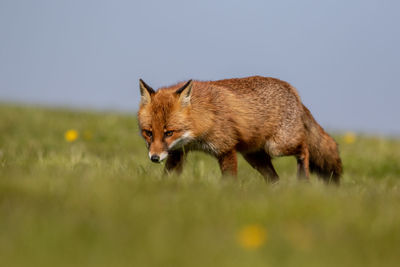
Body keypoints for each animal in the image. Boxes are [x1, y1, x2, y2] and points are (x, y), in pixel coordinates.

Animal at [137, 75, 340, 184]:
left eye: (169, 133)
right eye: (149, 133)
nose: (154, 158)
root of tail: (293, 90)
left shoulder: (226, 149)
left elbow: (229, 180)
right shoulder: (179, 152)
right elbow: (168, 176)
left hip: (277, 147)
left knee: (305, 148)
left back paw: (303, 179)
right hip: (254, 156)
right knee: (275, 179)